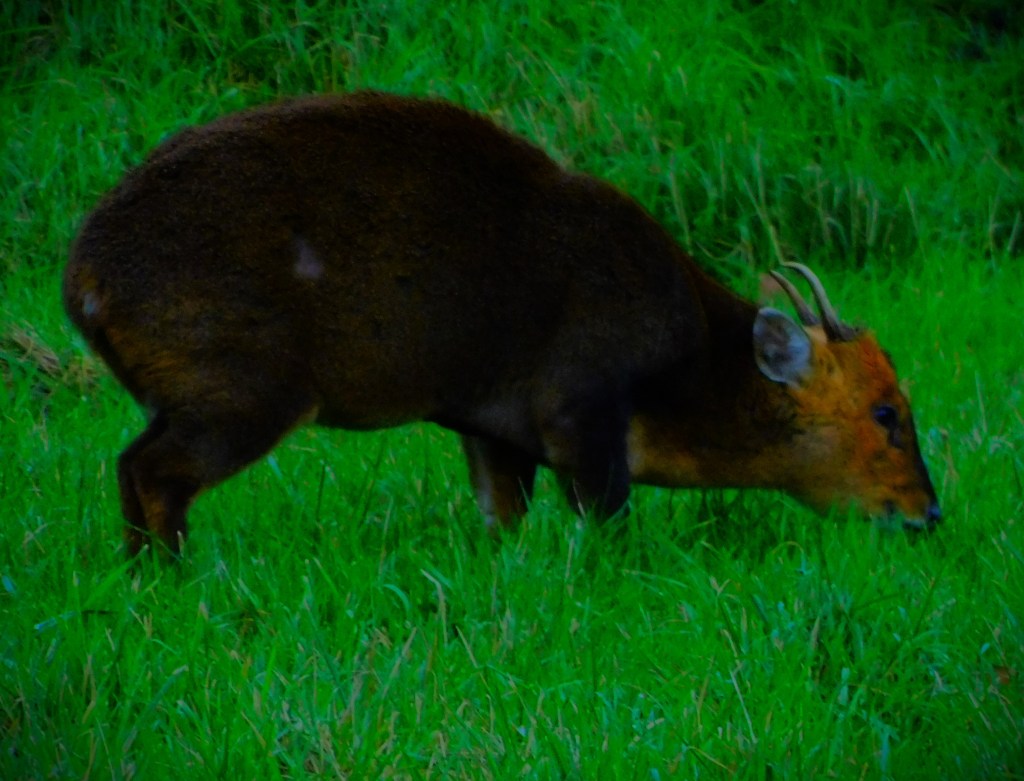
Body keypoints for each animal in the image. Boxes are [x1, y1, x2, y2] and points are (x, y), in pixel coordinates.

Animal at [63, 91, 941, 558]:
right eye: (887, 413)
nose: (928, 514)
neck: (689, 367)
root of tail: (84, 282)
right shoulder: (582, 410)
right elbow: (609, 530)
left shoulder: (495, 431)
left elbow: (501, 526)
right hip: (244, 389)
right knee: (153, 472)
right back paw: (175, 579)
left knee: (130, 467)